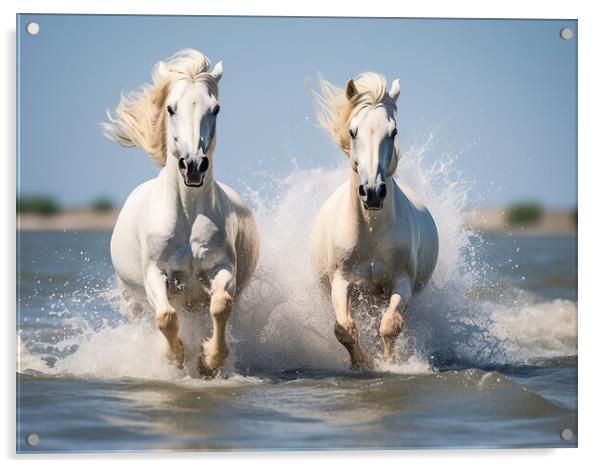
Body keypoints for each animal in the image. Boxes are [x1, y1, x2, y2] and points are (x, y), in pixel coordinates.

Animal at [103, 49, 258, 376]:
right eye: (171, 108)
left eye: (216, 109)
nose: (194, 166)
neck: (187, 214)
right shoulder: (156, 273)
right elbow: (165, 317)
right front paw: (174, 357)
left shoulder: (221, 268)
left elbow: (221, 306)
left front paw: (208, 359)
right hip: (132, 302)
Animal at [310, 73, 436, 370]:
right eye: (353, 131)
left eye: (393, 132)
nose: (373, 192)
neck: (370, 229)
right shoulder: (342, 281)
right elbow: (344, 329)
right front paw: (361, 364)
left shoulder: (401, 282)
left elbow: (390, 325)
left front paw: (389, 363)